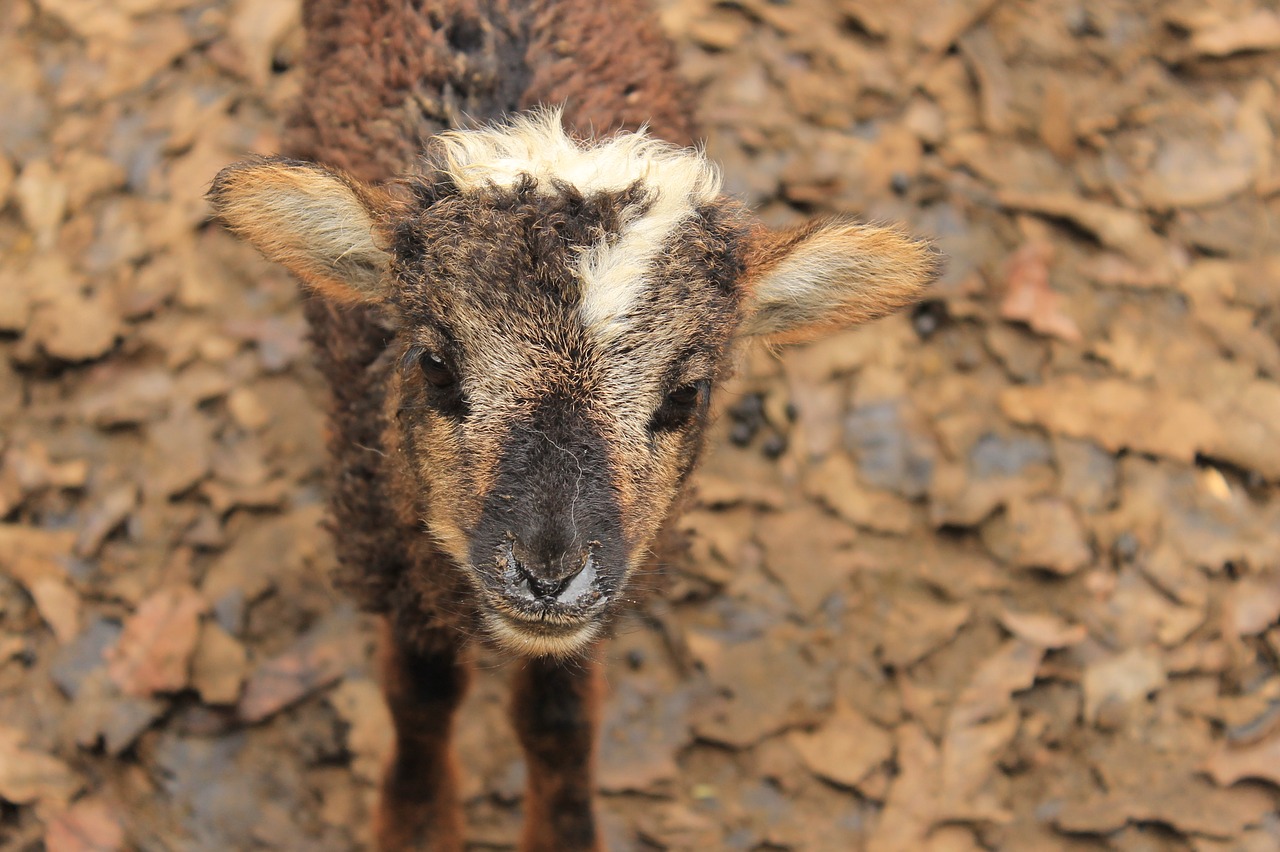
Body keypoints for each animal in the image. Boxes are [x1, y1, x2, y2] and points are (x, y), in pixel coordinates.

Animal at [204, 1, 936, 849]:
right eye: (434, 365)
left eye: (686, 394)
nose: (548, 576)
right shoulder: (395, 554)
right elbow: (420, 697)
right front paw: (416, 820)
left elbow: (557, 721)